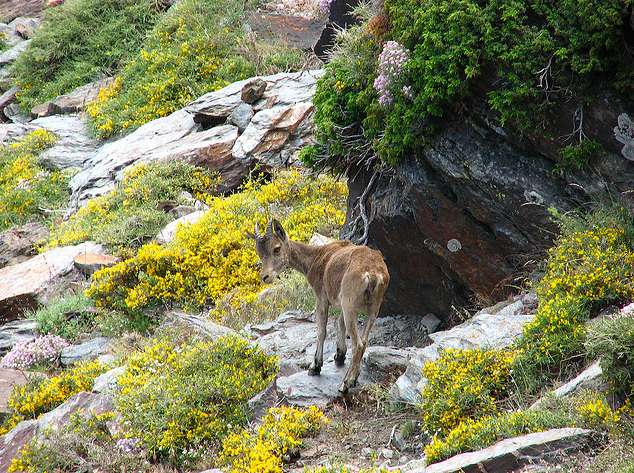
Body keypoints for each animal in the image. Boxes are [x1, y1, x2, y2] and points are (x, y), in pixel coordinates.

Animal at [249, 219, 388, 392]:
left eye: (276, 248)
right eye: (259, 253)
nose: (265, 277)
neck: (314, 258)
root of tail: (373, 274)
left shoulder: (322, 298)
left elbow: (321, 331)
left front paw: (315, 366)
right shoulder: (342, 301)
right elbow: (339, 323)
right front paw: (339, 355)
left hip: (350, 304)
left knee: (358, 344)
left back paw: (345, 383)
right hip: (373, 307)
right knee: (365, 341)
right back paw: (353, 377)